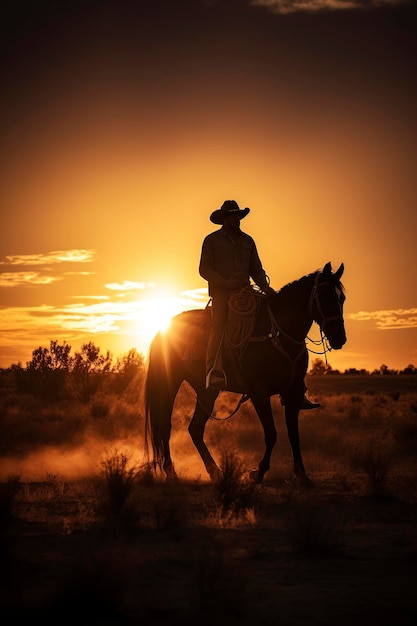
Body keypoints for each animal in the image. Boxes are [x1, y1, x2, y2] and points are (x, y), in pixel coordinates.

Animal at [145, 260, 346, 486]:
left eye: (342, 298)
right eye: (326, 296)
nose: (340, 337)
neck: (278, 334)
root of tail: (162, 330)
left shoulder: (292, 393)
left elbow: (294, 434)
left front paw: (302, 475)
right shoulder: (259, 393)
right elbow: (271, 433)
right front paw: (258, 472)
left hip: (207, 392)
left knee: (194, 429)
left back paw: (214, 471)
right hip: (169, 385)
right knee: (165, 426)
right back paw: (171, 471)